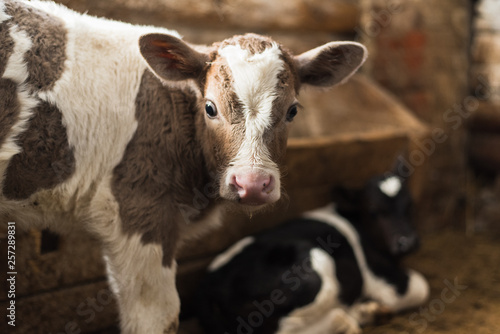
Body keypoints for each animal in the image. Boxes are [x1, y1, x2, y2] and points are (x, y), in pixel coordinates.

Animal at [195, 175, 430, 334]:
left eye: (410, 205)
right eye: (374, 211)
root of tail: (209, 284)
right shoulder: (382, 279)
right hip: (314, 267)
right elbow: (421, 287)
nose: (408, 242)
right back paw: (345, 321)